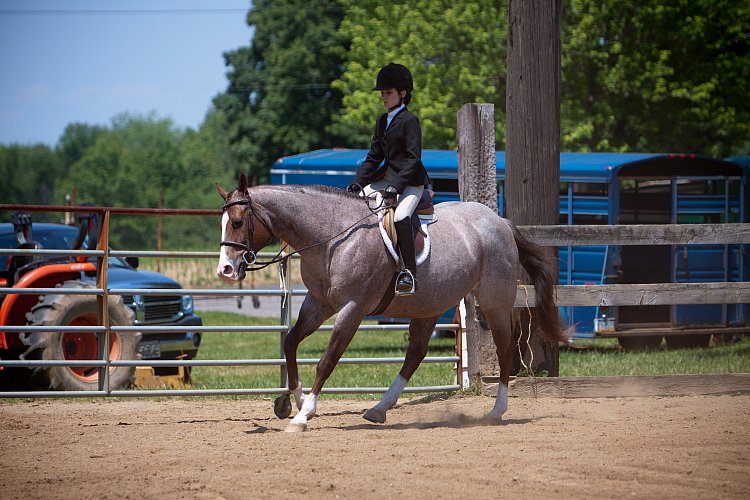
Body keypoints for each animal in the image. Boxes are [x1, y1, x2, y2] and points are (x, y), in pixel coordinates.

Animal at [217, 172, 568, 430]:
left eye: (237, 222)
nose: (225, 270)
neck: (332, 237)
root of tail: (500, 222)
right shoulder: (319, 303)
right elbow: (290, 343)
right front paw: (296, 400)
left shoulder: (352, 308)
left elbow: (327, 360)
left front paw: (304, 414)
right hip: (430, 304)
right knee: (416, 353)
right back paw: (379, 409)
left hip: (494, 301)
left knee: (505, 348)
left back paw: (497, 410)